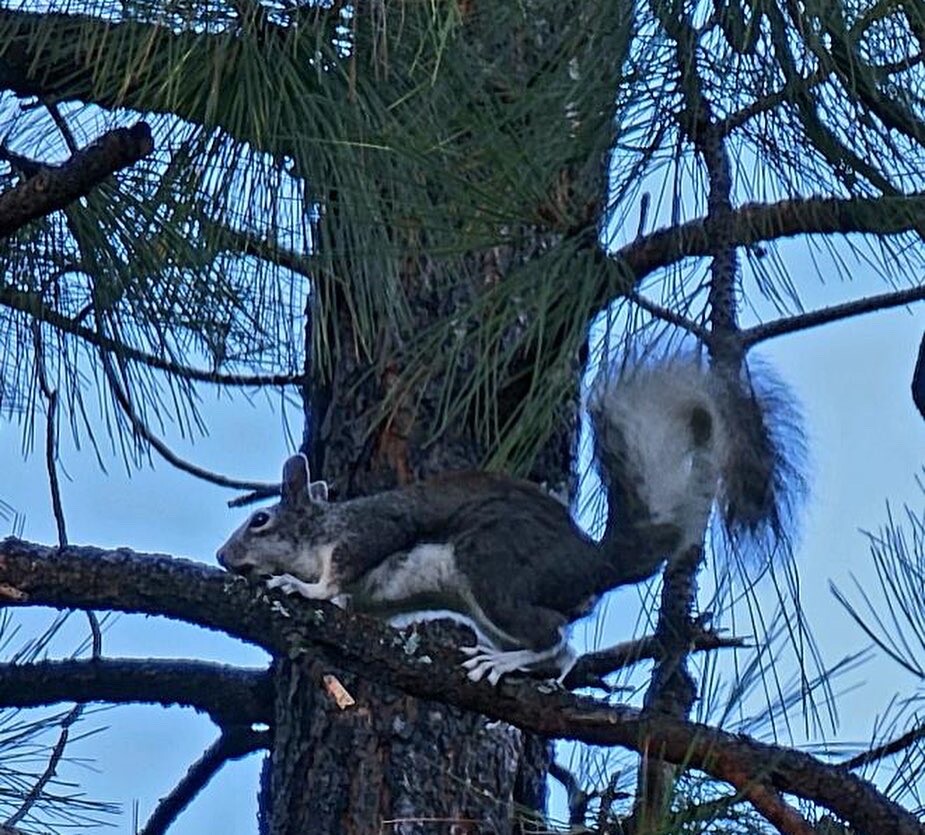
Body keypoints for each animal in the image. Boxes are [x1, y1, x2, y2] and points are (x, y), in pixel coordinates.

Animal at [216, 358, 800, 685]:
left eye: (260, 520)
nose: (222, 558)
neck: (322, 528)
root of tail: (591, 561)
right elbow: (353, 601)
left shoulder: (369, 530)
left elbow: (342, 568)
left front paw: (302, 587)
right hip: (488, 607)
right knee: (564, 650)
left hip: (492, 569)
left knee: (550, 636)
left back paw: (504, 665)